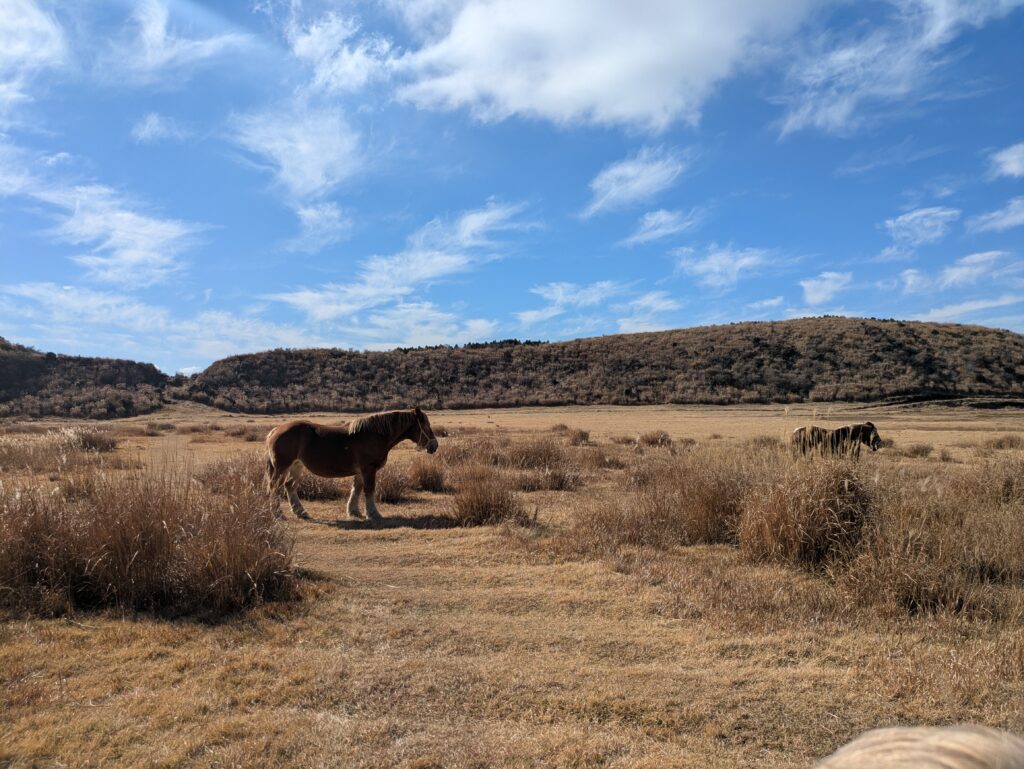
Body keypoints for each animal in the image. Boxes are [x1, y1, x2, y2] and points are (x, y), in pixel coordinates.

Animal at [265, 407, 438, 523]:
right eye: (425, 425)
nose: (434, 446)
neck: (375, 434)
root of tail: (276, 430)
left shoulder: (361, 471)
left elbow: (357, 488)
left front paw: (353, 511)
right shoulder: (368, 469)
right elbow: (369, 490)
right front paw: (373, 514)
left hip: (296, 466)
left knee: (289, 486)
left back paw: (301, 512)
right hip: (282, 467)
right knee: (274, 487)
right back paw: (278, 514)